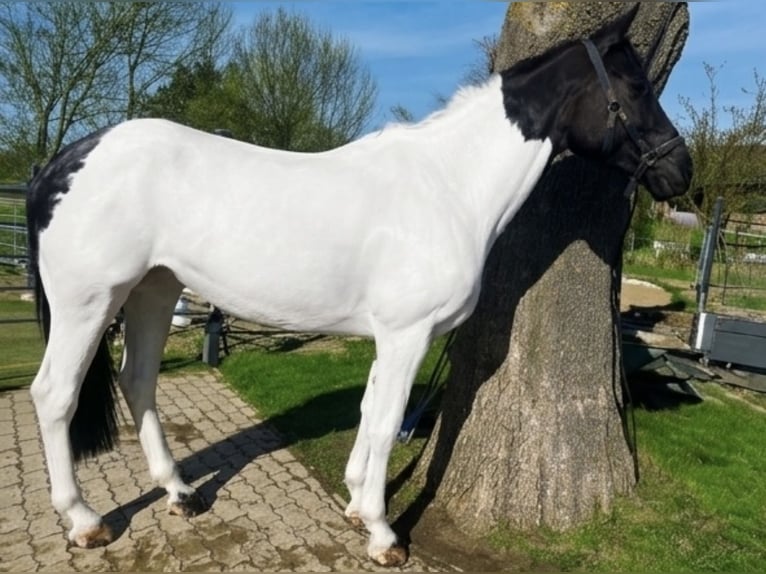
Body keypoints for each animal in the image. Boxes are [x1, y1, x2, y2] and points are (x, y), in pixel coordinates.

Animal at [26, 9, 691, 567]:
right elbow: (388, 418)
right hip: (90, 300)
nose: (680, 171)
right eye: (637, 88)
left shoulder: (389, 337)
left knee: (138, 381)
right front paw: (381, 532)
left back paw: (180, 492)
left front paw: (351, 503)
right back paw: (84, 520)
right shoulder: (408, 334)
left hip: (155, 292)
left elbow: (372, 413)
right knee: (54, 395)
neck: (449, 187)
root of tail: (63, 162)